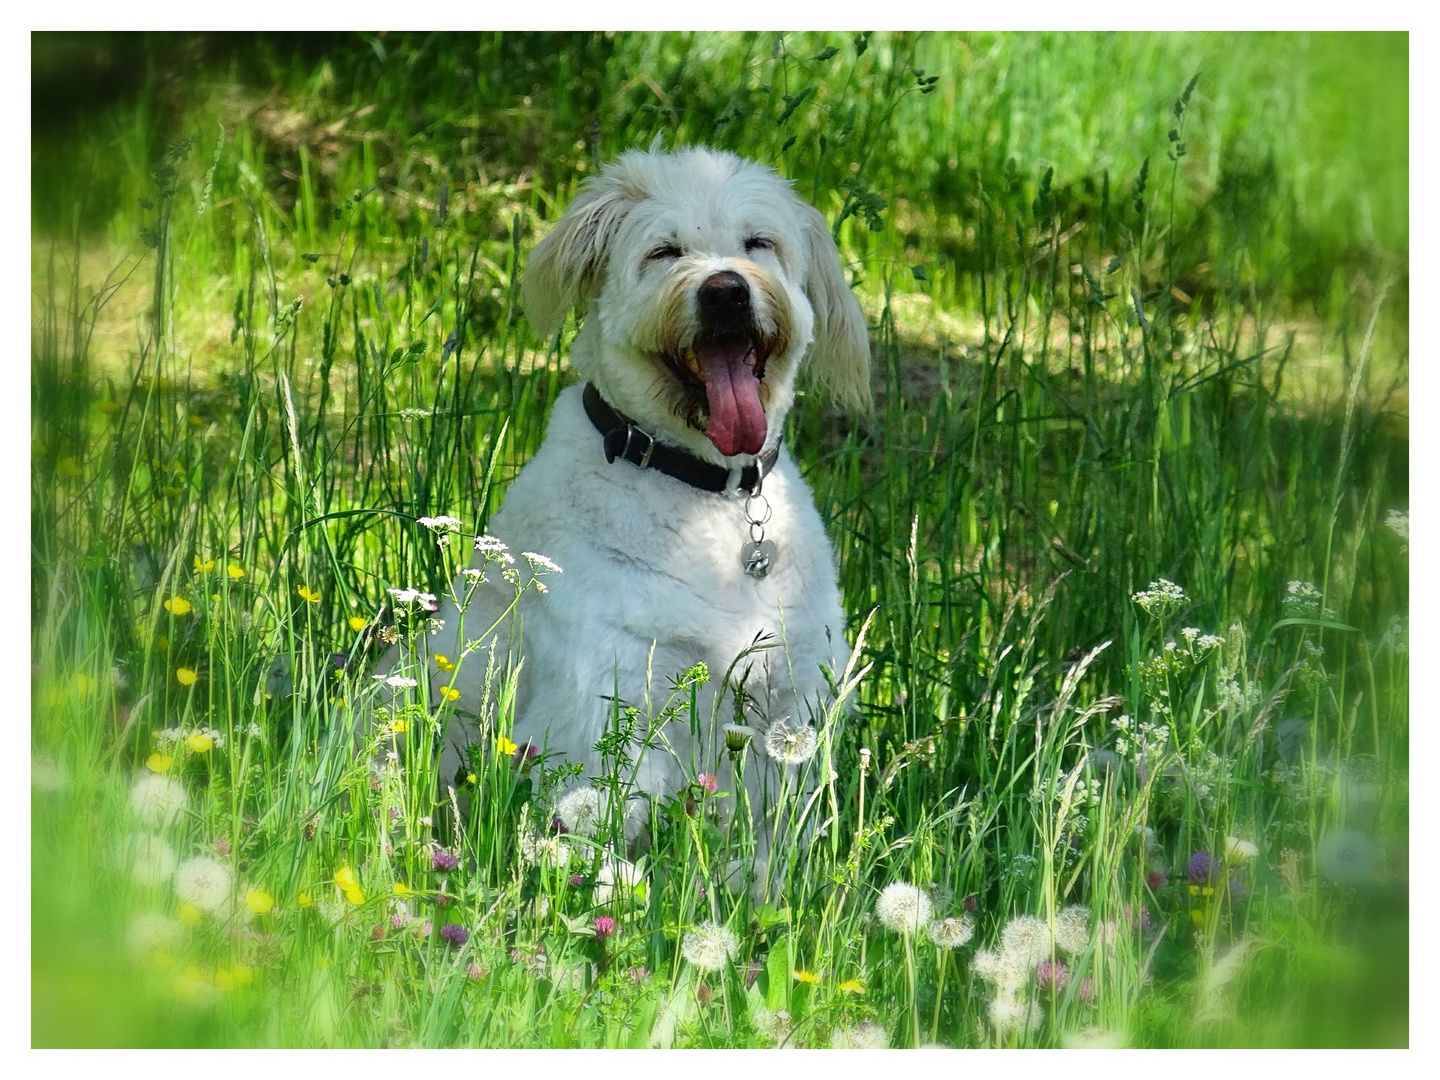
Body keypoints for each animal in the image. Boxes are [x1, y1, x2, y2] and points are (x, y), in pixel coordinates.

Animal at [383, 148, 864, 864]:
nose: (726, 290)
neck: (709, 499)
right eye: (664, 252)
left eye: (758, 243)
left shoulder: (788, 702)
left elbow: (764, 852)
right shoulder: (606, 706)